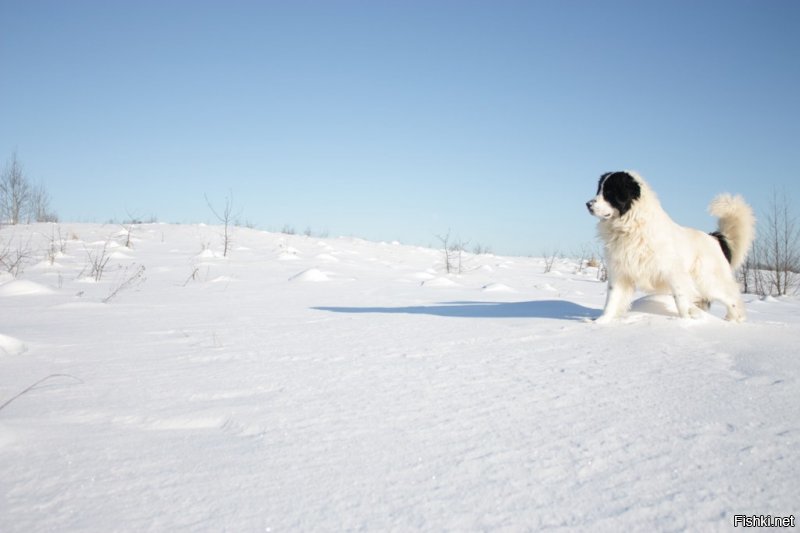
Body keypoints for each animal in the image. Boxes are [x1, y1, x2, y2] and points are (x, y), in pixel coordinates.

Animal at [584, 171, 752, 320]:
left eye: (609, 192)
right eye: (599, 190)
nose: (587, 204)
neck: (630, 226)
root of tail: (714, 238)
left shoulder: (674, 272)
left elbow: (681, 300)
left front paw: (686, 322)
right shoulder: (620, 272)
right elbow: (611, 301)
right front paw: (601, 323)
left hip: (708, 281)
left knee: (732, 297)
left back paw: (735, 320)